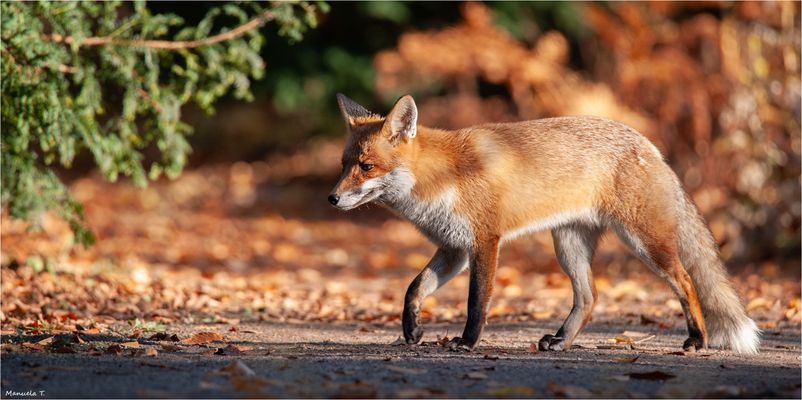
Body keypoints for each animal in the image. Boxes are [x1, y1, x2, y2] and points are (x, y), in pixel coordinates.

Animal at [328, 93, 760, 354]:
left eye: (366, 167)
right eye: (344, 164)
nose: (332, 198)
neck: (441, 178)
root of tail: (649, 145)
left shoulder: (484, 241)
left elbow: (476, 302)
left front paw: (467, 342)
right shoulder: (453, 249)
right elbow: (413, 290)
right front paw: (411, 331)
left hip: (645, 243)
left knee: (686, 281)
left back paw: (697, 339)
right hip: (568, 246)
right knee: (589, 298)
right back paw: (562, 341)